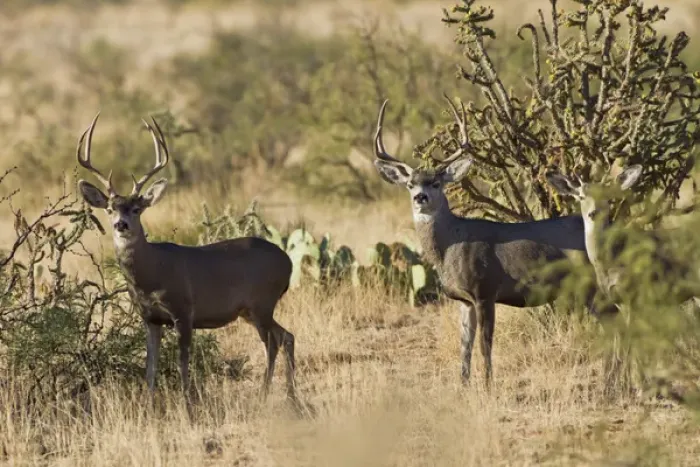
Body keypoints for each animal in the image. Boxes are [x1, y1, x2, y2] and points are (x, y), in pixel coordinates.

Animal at [76, 113, 297, 402]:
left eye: (136, 209)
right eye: (110, 209)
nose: (121, 225)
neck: (152, 273)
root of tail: (288, 261)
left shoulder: (183, 311)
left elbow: (182, 365)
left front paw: (188, 404)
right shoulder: (150, 318)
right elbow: (150, 369)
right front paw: (150, 405)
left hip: (262, 301)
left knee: (273, 342)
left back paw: (265, 394)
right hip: (250, 310)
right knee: (287, 336)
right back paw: (291, 396)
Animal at [371, 98, 614, 386]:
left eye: (436, 183)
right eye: (410, 184)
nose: (421, 197)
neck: (450, 246)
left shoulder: (485, 291)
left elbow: (484, 344)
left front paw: (488, 385)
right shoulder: (464, 300)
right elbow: (464, 345)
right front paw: (464, 385)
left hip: (592, 286)